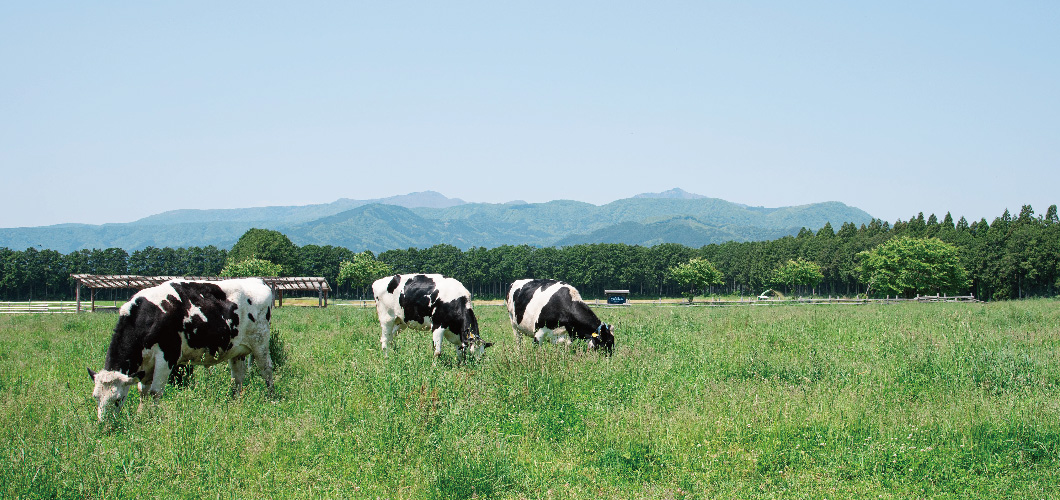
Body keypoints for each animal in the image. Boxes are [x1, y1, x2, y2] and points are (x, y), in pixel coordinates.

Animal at [87, 277, 273, 421]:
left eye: (118, 399)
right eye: (95, 397)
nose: (104, 425)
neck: (149, 317)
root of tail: (258, 280)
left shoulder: (167, 356)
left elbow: (154, 392)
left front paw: (152, 418)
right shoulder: (145, 364)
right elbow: (143, 392)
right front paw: (141, 415)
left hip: (261, 343)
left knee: (266, 370)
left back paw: (270, 398)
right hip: (237, 350)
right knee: (238, 378)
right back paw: (235, 401)